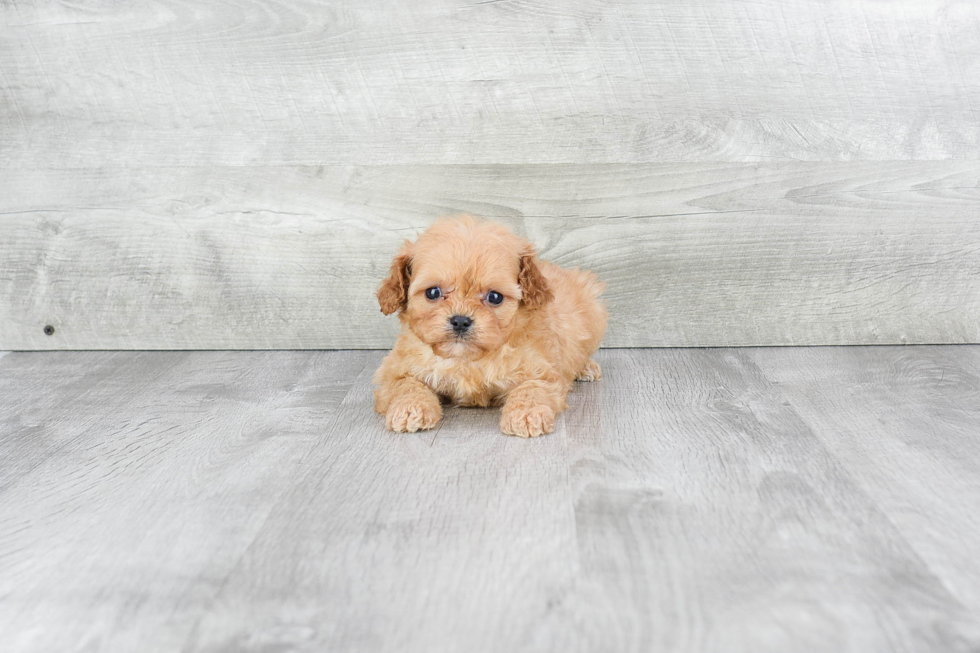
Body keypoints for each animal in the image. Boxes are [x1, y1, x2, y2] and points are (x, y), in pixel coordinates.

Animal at [374, 216, 604, 436]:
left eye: (495, 297)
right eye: (432, 292)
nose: (460, 321)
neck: (467, 359)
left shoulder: (543, 371)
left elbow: (532, 388)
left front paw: (527, 414)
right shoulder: (396, 369)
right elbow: (405, 385)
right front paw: (409, 409)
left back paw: (586, 367)